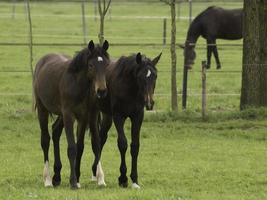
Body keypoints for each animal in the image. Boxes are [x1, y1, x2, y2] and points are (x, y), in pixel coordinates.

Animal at [33, 40, 110, 189]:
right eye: (91, 65)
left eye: (107, 65)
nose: (102, 91)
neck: (79, 85)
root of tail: (42, 62)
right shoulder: (69, 115)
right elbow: (72, 148)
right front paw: (74, 182)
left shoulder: (88, 116)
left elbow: (92, 145)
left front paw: (100, 179)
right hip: (43, 109)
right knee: (45, 140)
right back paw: (48, 179)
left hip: (61, 115)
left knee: (55, 131)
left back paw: (57, 177)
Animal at [75, 52, 161, 189]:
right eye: (140, 77)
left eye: (155, 76)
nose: (149, 103)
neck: (130, 88)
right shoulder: (118, 116)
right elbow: (122, 144)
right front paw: (123, 178)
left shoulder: (137, 117)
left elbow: (135, 146)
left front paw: (135, 180)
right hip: (93, 113)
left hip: (107, 117)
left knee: (101, 138)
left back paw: (95, 172)